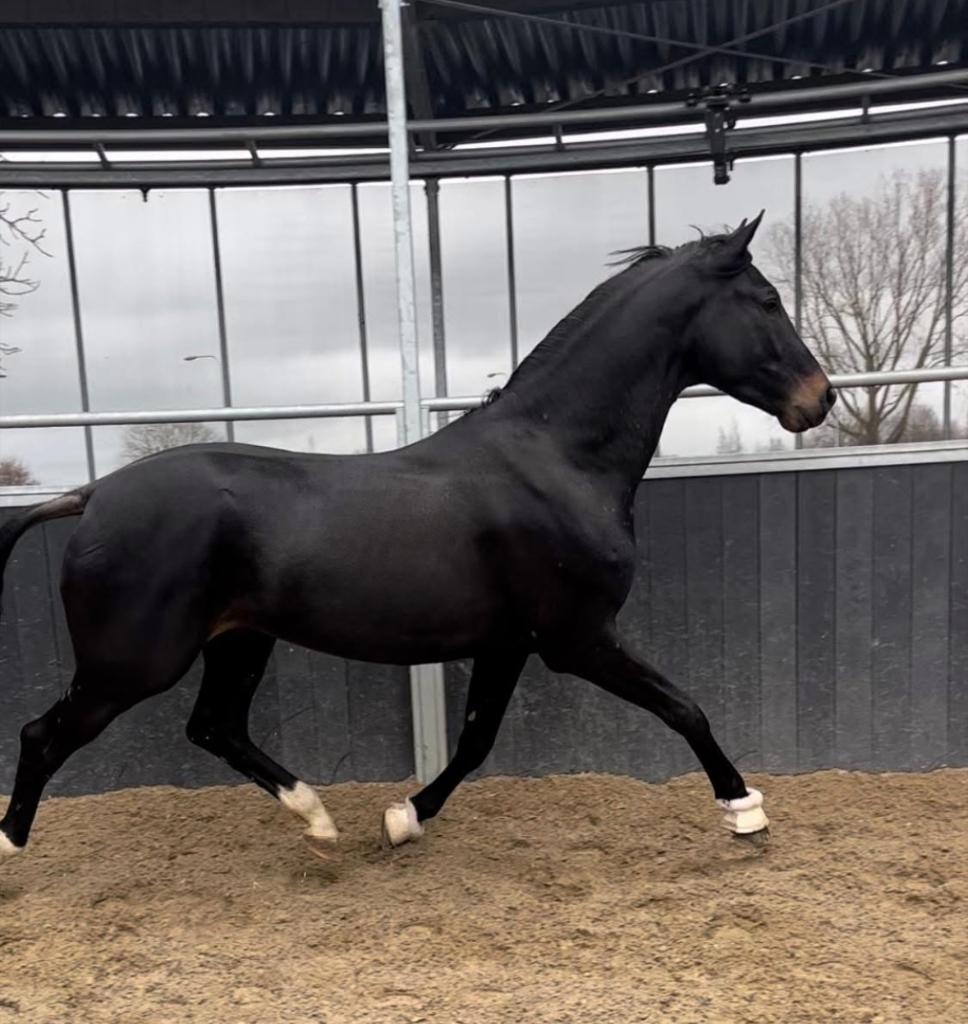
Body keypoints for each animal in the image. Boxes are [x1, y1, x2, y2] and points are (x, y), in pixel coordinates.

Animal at [0, 211, 834, 861]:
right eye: (767, 300)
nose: (819, 400)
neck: (556, 457)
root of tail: (91, 495)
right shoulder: (578, 638)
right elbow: (684, 707)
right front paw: (746, 812)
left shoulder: (511, 641)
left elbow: (474, 741)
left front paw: (401, 819)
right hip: (133, 663)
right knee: (44, 735)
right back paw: (11, 851)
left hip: (238, 640)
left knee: (214, 726)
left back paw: (319, 821)